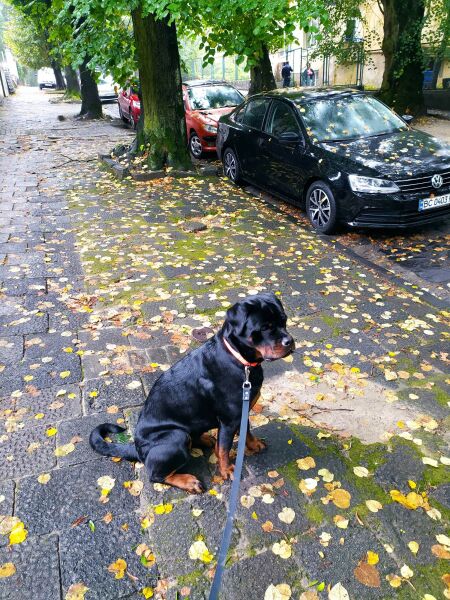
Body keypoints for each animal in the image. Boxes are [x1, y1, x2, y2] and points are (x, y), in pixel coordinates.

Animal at [89, 292, 294, 494]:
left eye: (284, 320)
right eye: (265, 327)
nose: (290, 341)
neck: (241, 361)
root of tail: (137, 449)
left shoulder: (241, 411)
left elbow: (247, 430)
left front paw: (254, 444)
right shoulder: (229, 419)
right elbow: (224, 449)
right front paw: (227, 470)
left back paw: (205, 439)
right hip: (176, 436)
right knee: (155, 474)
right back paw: (188, 481)